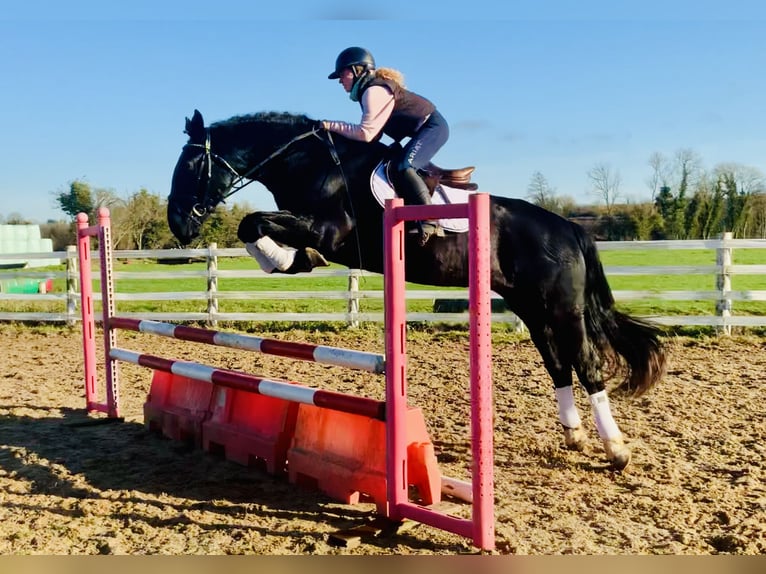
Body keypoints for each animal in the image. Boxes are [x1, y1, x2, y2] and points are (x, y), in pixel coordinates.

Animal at [166, 109, 664, 472]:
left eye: (191, 165)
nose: (179, 225)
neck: (313, 163)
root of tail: (568, 228)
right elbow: (254, 226)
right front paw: (290, 261)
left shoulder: (328, 230)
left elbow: (253, 222)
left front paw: (289, 259)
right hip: (532, 308)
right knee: (558, 363)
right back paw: (574, 435)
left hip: (562, 309)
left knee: (586, 364)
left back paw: (616, 450)